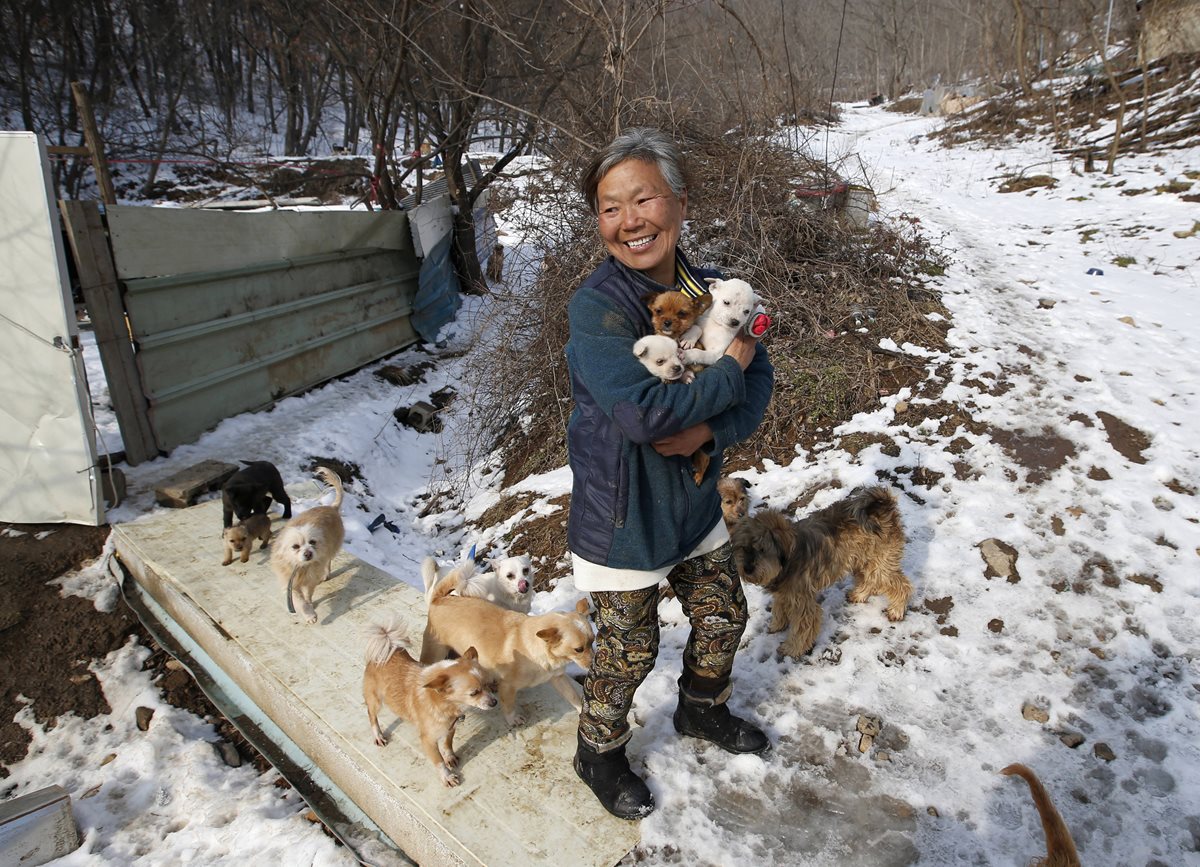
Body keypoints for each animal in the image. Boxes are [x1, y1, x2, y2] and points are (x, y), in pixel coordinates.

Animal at [271, 465, 345, 619]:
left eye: (312, 542)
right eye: (295, 546)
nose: (308, 553)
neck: (300, 567)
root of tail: (332, 507)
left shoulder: (310, 580)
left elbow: (307, 594)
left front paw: (310, 607)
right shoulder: (290, 583)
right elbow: (299, 598)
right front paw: (308, 612)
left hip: (330, 549)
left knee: (328, 561)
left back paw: (325, 573)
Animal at [362, 619, 499, 787]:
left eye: (489, 685)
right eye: (474, 693)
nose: (494, 702)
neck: (444, 704)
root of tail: (386, 649)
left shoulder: (450, 728)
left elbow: (447, 745)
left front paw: (450, 757)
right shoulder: (428, 741)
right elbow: (439, 762)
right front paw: (447, 777)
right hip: (375, 701)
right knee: (371, 715)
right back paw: (378, 735)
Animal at [422, 571, 595, 725]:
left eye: (593, 641)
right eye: (579, 649)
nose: (593, 664)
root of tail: (439, 598)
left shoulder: (558, 678)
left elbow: (574, 698)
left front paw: (583, 715)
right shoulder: (508, 687)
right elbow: (508, 706)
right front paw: (513, 720)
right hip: (434, 653)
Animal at [724, 485, 912, 653]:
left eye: (762, 549)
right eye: (743, 548)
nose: (747, 569)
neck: (788, 557)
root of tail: (882, 505)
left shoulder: (803, 602)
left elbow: (802, 628)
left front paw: (791, 648)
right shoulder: (785, 593)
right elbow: (779, 608)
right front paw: (777, 625)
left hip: (880, 563)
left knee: (901, 584)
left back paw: (896, 610)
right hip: (862, 561)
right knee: (869, 580)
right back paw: (859, 594)